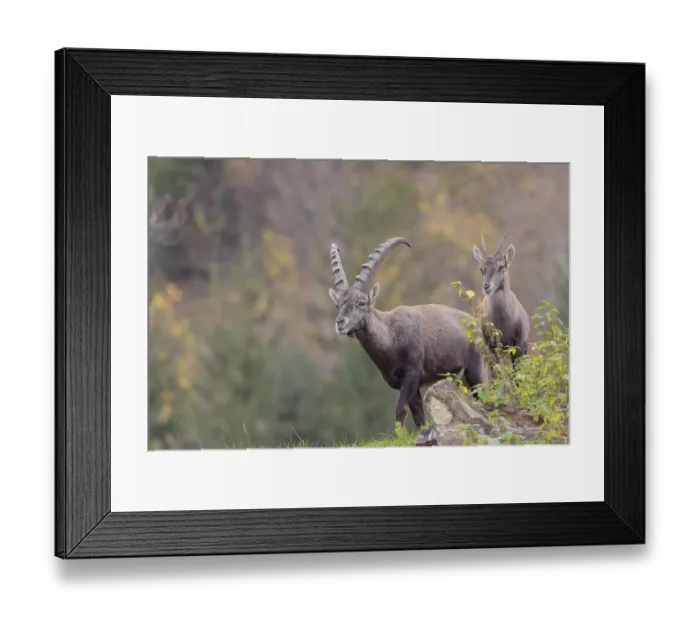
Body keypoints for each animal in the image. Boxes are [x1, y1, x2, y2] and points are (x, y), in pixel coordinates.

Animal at [328, 237, 487, 428]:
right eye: (338, 305)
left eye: (361, 303)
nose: (340, 322)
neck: (391, 337)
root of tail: (475, 324)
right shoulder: (406, 383)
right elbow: (419, 417)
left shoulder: (412, 373)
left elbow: (400, 410)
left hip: (475, 371)